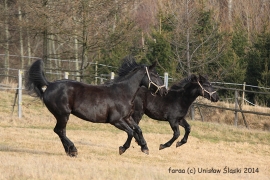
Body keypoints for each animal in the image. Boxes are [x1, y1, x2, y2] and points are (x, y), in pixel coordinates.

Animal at [26, 55, 168, 157]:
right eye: (155, 75)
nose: (165, 91)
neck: (123, 93)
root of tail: (49, 85)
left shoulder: (127, 117)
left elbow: (138, 130)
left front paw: (144, 147)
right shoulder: (116, 121)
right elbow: (131, 132)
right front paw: (123, 148)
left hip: (62, 116)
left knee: (61, 131)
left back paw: (69, 151)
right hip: (63, 114)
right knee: (59, 131)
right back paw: (73, 150)